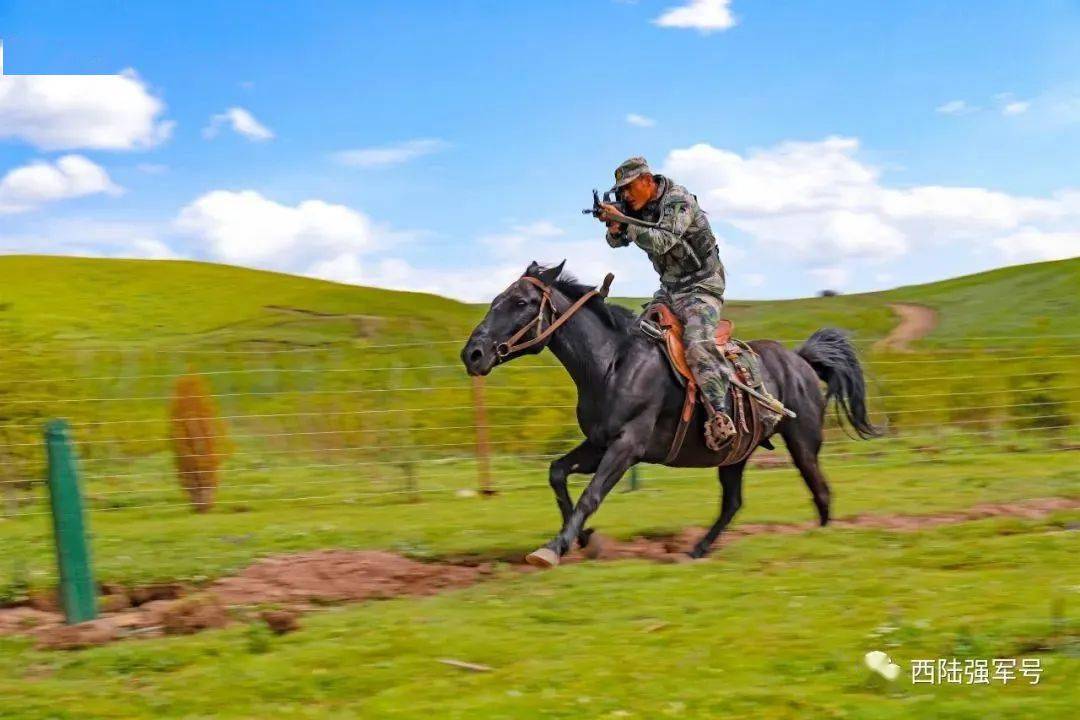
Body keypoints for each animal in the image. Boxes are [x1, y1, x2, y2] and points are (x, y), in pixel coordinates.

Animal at [461, 261, 880, 567]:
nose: (472, 354)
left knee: (820, 491)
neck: (612, 363)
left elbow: (591, 494)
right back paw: (698, 549)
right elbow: (558, 473)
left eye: (520, 303)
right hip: (735, 455)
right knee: (733, 503)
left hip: (803, 444)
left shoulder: (627, 446)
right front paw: (580, 538)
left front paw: (553, 548)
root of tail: (802, 360)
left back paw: (819, 539)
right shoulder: (598, 443)